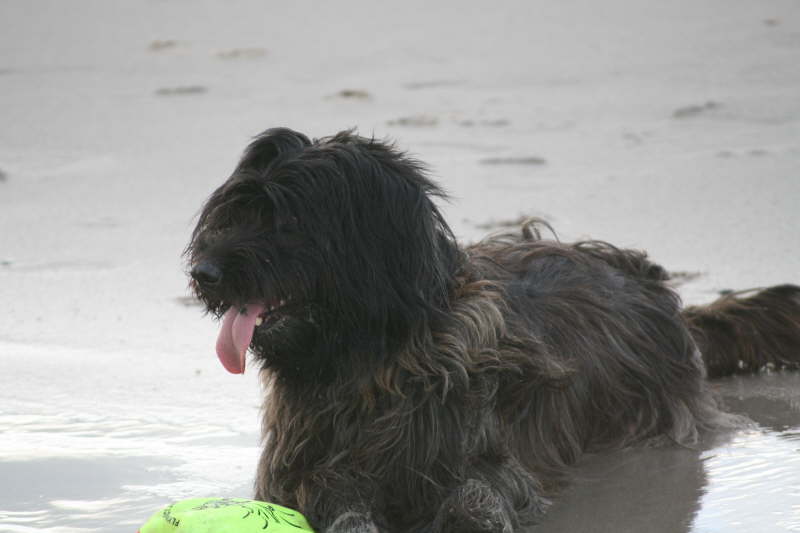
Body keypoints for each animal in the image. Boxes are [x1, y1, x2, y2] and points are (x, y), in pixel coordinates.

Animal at [186, 129, 800, 532]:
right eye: (232, 213)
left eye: (286, 219)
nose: (203, 273)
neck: (372, 363)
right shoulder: (297, 467)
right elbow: (331, 495)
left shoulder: (495, 454)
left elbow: (481, 492)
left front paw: (467, 515)